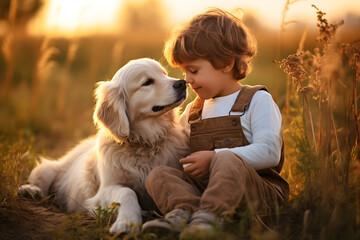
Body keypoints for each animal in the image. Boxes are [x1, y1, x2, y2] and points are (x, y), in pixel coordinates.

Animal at [18, 58, 190, 232]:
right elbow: (127, 192)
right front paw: (126, 222)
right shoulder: (105, 190)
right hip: (50, 169)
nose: (182, 83)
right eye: (147, 82)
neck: (145, 142)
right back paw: (31, 190)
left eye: (164, 74)